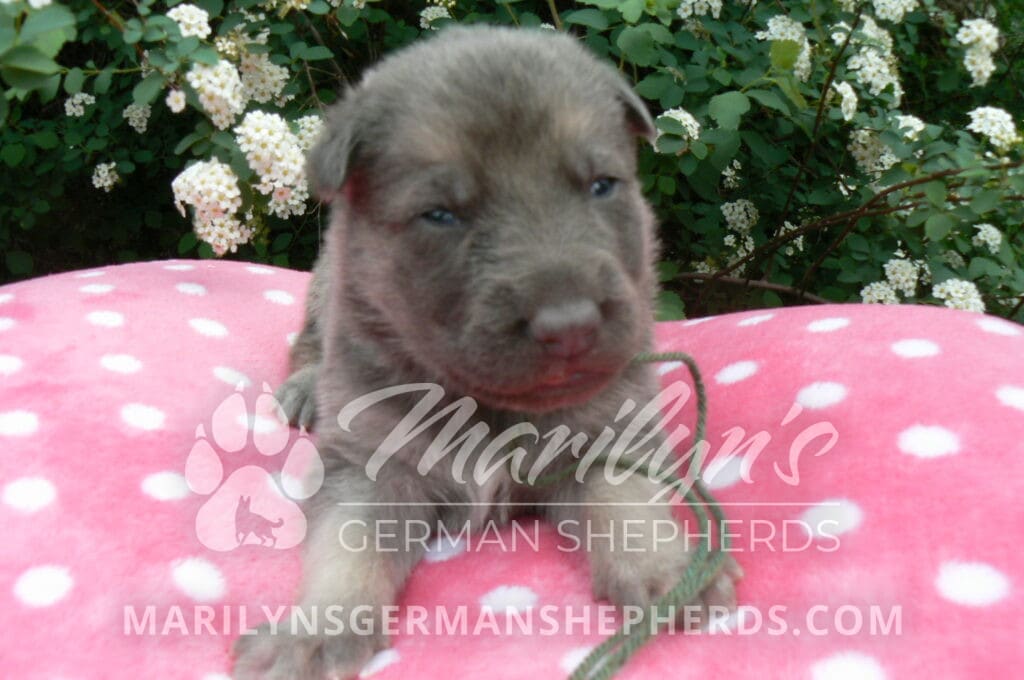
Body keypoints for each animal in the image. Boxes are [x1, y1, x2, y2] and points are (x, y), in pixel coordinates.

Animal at [233, 26, 739, 679]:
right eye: (440, 215)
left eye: (602, 185)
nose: (570, 327)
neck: (488, 403)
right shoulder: (369, 464)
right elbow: (347, 545)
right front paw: (315, 630)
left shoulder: (606, 432)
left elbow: (627, 502)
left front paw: (673, 572)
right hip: (326, 285)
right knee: (308, 342)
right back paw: (303, 389)